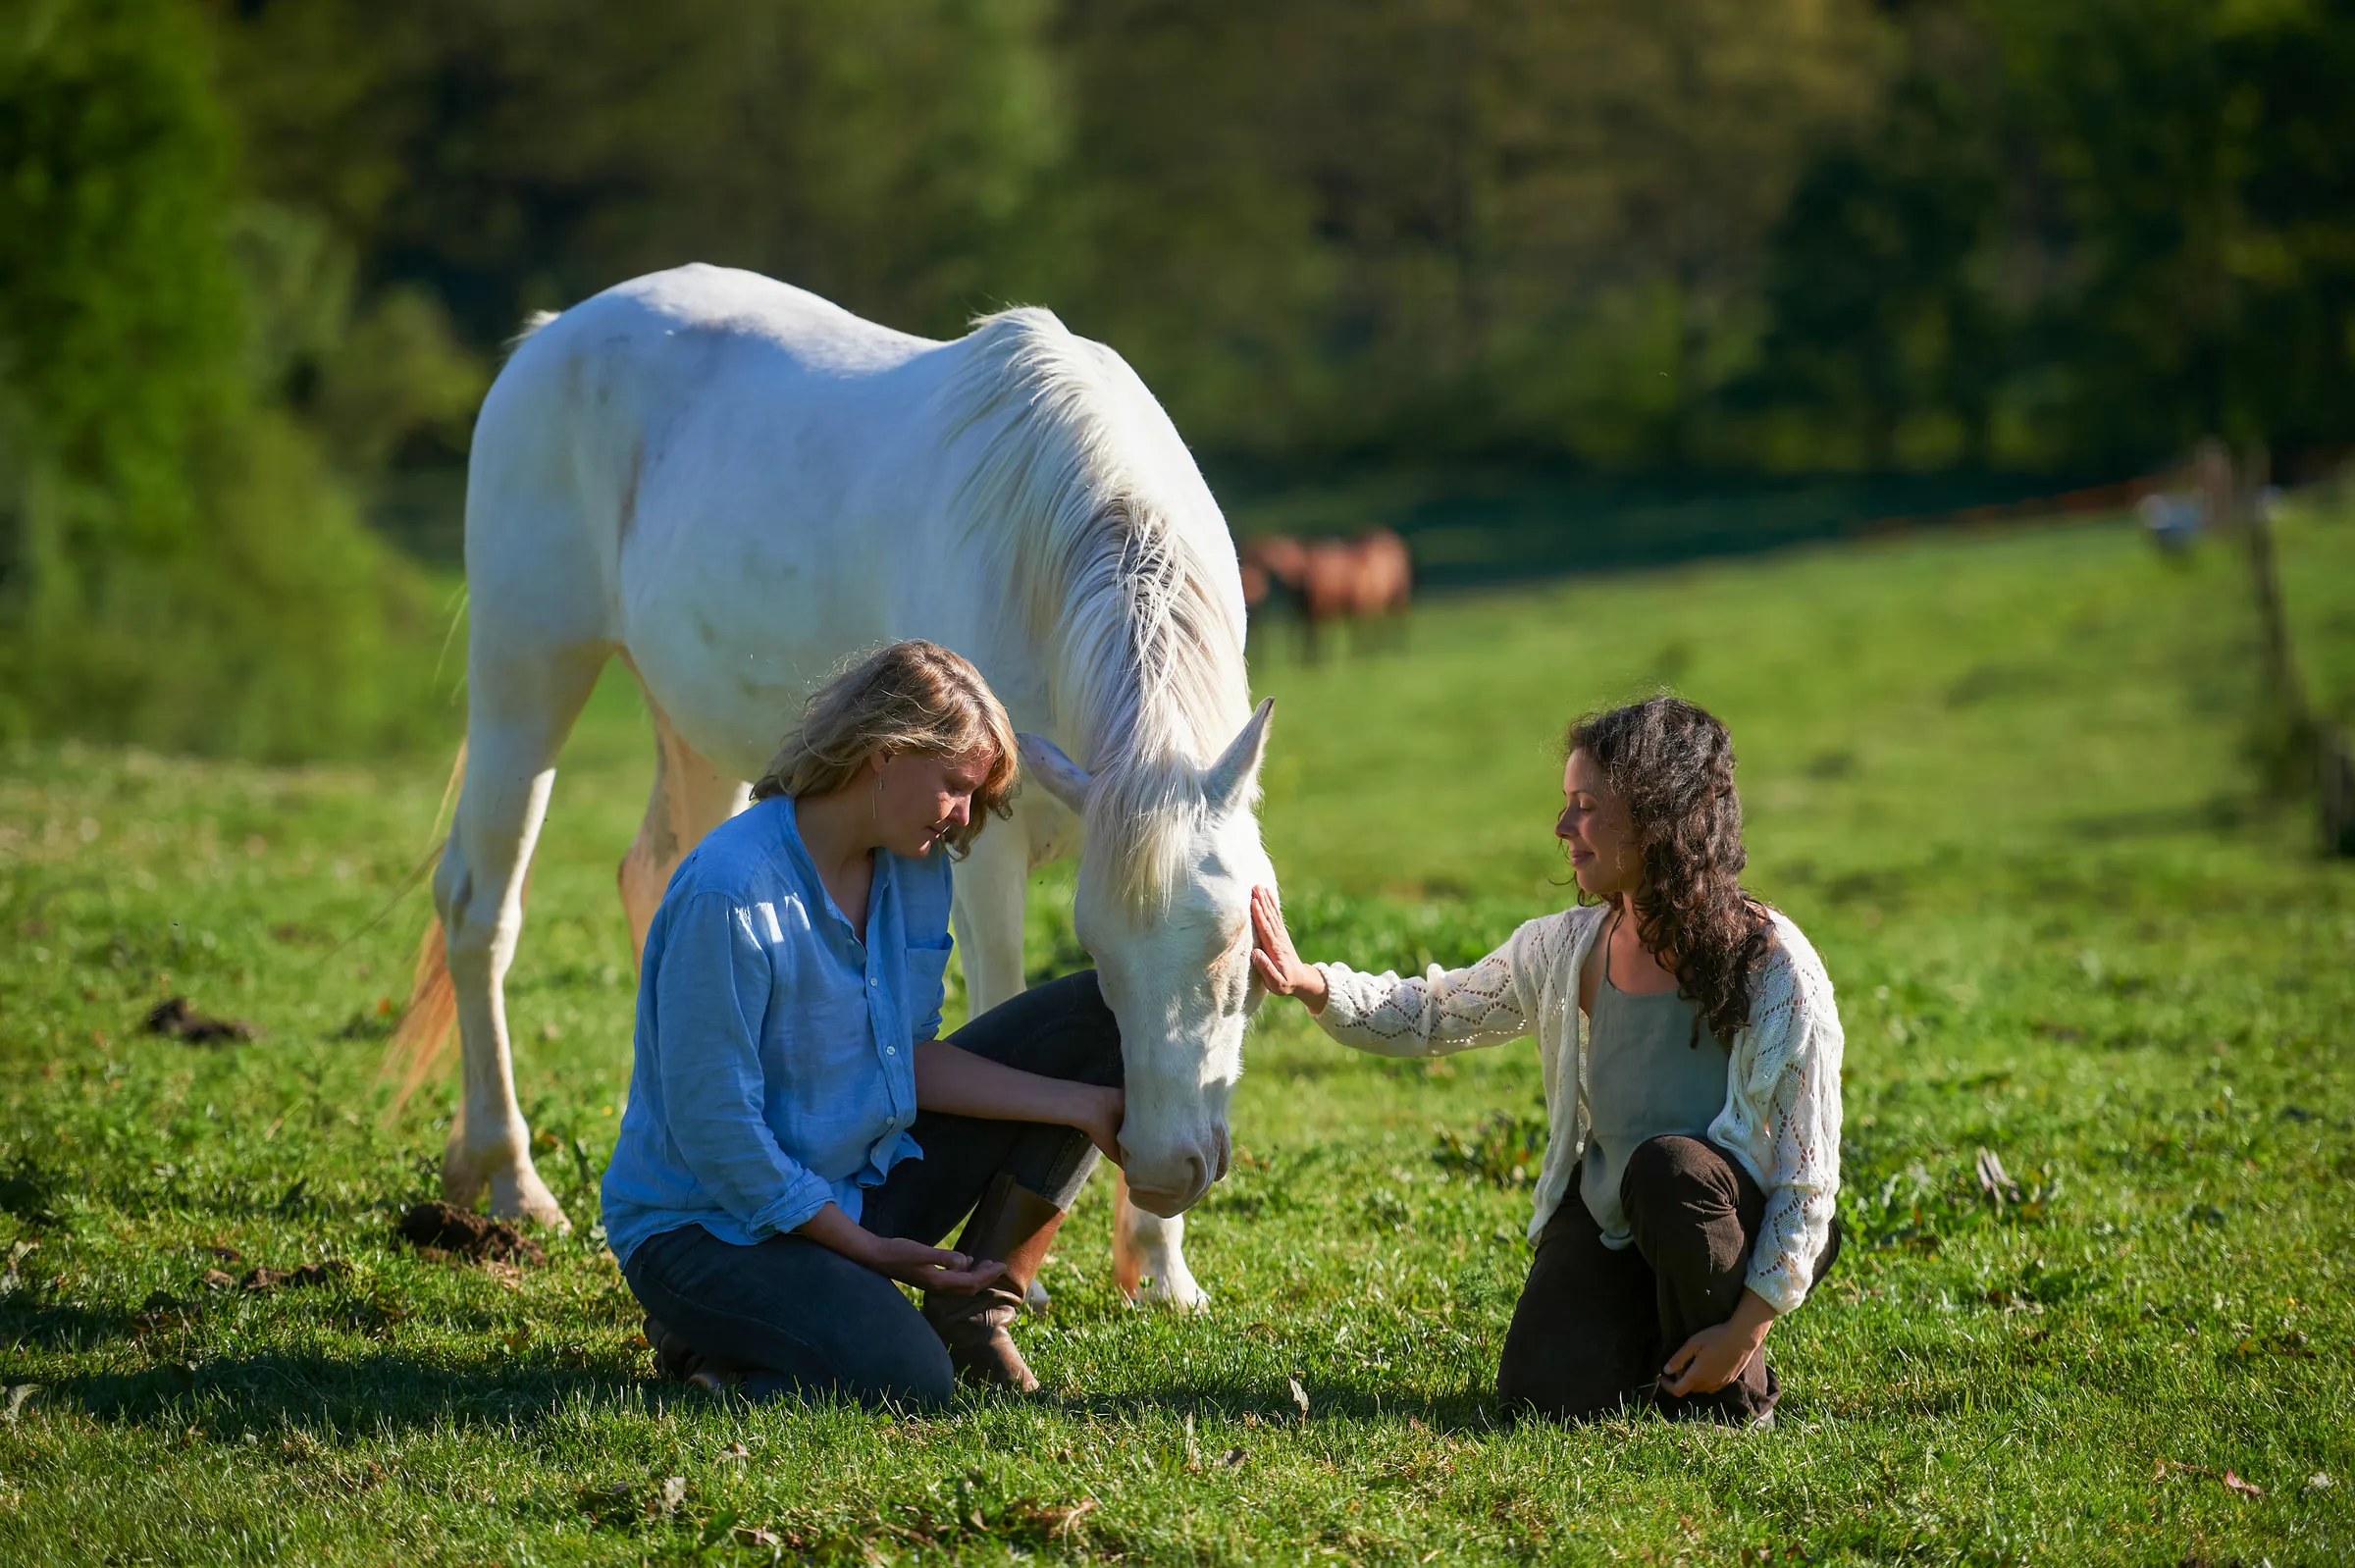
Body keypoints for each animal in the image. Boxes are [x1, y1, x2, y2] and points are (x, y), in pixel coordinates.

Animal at [383, 263, 1276, 1309]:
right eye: (1097, 959)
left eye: (1232, 947)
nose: (1168, 1171)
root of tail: (550, 336)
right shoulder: (983, 857)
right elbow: (1002, 994)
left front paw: (1162, 1271)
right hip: (528, 670)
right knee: (481, 906)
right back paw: (512, 1176)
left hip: (693, 725)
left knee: (657, 873)